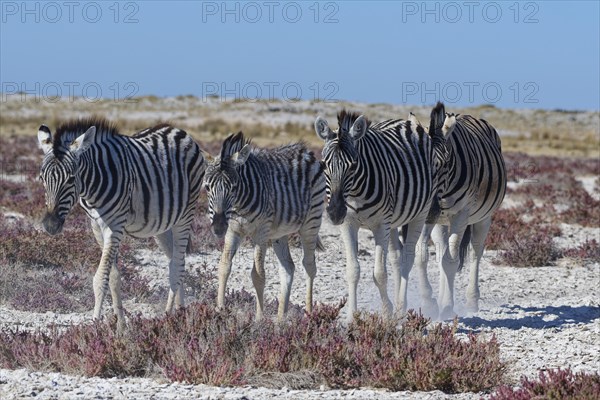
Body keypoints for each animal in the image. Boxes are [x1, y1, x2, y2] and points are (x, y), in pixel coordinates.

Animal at [38, 117, 206, 330]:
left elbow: (100, 278)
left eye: (71, 178)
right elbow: (113, 278)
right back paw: (181, 312)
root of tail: (178, 130)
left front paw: (95, 326)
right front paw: (121, 327)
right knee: (176, 261)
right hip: (162, 224)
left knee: (177, 265)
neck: (92, 186)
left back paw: (168, 318)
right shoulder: (96, 227)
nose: (50, 225)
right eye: (42, 178)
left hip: (185, 215)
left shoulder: (114, 226)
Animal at [204, 133, 326, 320]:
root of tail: (306, 151)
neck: (239, 205)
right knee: (288, 267)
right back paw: (280, 319)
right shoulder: (233, 230)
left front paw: (260, 318)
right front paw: (219, 310)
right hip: (279, 234)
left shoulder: (261, 232)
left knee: (309, 265)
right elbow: (224, 267)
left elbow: (258, 275)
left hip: (311, 222)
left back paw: (309, 314)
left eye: (233, 188)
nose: (217, 228)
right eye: (207, 188)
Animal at [314, 107, 440, 322]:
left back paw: (400, 309)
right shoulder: (348, 224)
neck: (355, 193)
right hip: (395, 220)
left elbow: (380, 274)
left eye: (353, 165)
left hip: (420, 213)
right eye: (323, 165)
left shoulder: (381, 224)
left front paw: (386, 312)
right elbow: (353, 271)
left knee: (407, 258)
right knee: (397, 258)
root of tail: (403, 121)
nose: (335, 213)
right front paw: (351, 317)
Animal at [414, 102, 508, 318]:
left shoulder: (461, 215)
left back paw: (471, 301)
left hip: (483, 217)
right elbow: (421, 254)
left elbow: (451, 261)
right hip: (441, 222)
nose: (430, 210)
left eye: (445, 164)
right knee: (442, 251)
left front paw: (448, 307)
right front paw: (429, 302)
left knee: (475, 252)